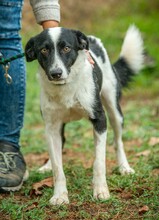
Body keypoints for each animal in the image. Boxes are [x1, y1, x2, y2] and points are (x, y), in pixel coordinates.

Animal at [25, 25, 143, 205]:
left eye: (66, 48)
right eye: (43, 50)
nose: (56, 73)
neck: (66, 87)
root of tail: (92, 39)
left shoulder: (100, 119)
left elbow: (99, 162)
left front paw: (101, 191)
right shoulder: (51, 126)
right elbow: (58, 168)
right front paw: (60, 195)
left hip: (114, 109)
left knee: (118, 141)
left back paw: (124, 167)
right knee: (60, 145)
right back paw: (47, 165)